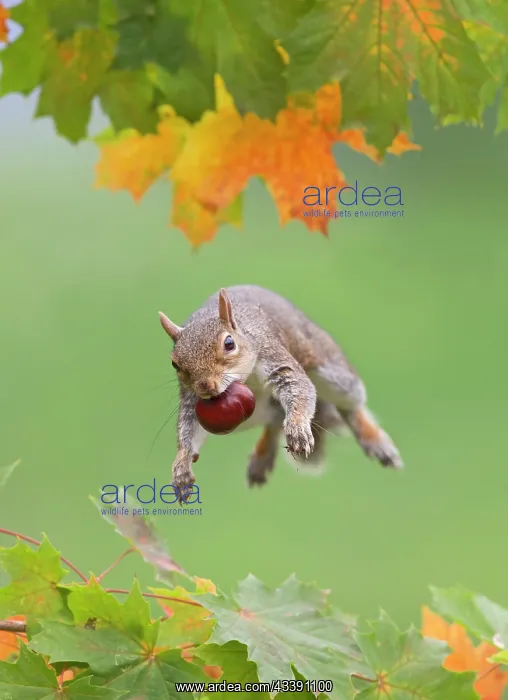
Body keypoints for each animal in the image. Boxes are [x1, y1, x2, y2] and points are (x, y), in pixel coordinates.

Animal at [159, 285, 403, 499]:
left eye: (229, 343)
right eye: (174, 363)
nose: (206, 386)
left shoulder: (274, 355)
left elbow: (298, 387)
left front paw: (297, 428)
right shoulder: (191, 400)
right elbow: (188, 429)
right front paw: (181, 467)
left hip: (333, 374)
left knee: (350, 408)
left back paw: (375, 441)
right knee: (275, 423)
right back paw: (262, 458)